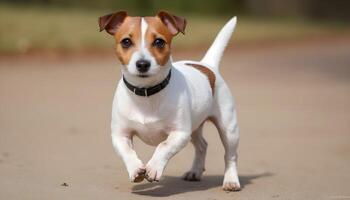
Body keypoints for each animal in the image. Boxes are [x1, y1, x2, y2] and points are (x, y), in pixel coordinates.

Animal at [98, 10, 241, 191]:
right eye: (126, 42)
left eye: (159, 42)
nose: (142, 64)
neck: (147, 93)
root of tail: (207, 65)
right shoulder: (120, 135)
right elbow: (127, 152)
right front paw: (135, 168)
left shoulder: (180, 133)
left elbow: (163, 146)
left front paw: (153, 167)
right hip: (195, 127)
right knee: (202, 146)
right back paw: (195, 171)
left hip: (228, 129)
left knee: (230, 155)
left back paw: (231, 180)